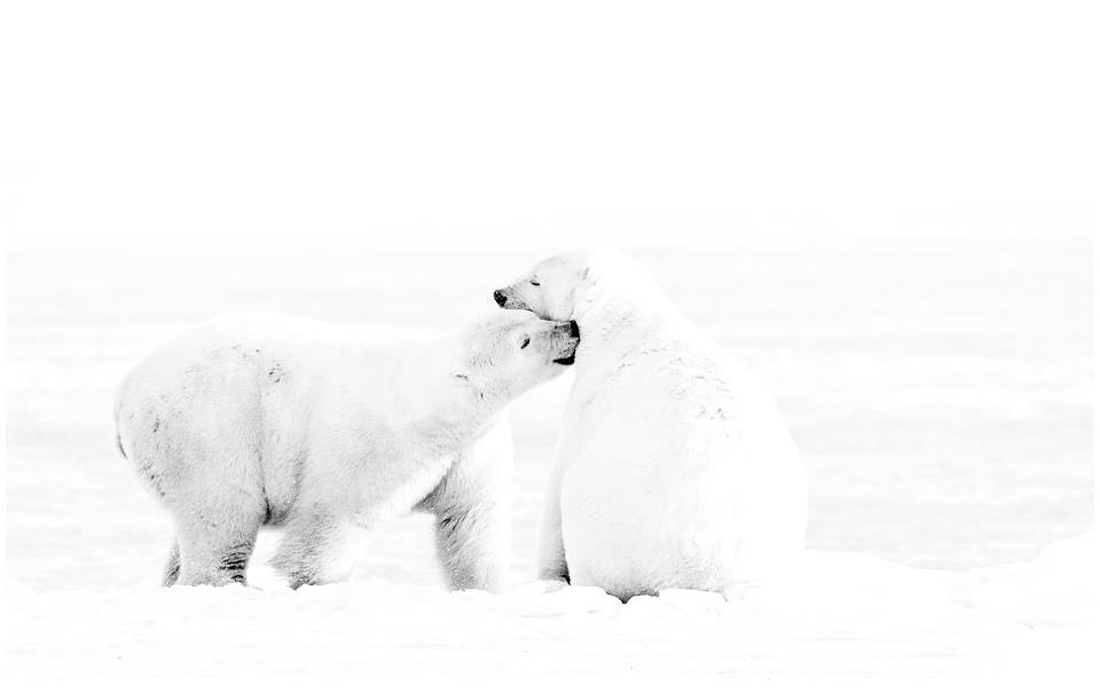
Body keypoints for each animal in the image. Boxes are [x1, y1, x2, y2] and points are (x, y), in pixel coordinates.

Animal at [113, 310, 579, 591]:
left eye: (538, 316)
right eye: (525, 340)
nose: (573, 328)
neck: (433, 405)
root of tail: (125, 391)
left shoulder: (471, 449)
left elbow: (471, 522)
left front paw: (483, 590)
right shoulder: (374, 441)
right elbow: (335, 518)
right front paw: (309, 583)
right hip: (210, 427)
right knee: (223, 512)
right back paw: (224, 583)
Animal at [493, 245, 807, 601]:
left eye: (536, 280)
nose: (499, 294)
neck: (619, 322)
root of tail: (715, 580)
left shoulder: (589, 395)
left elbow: (560, 471)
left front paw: (548, 575)